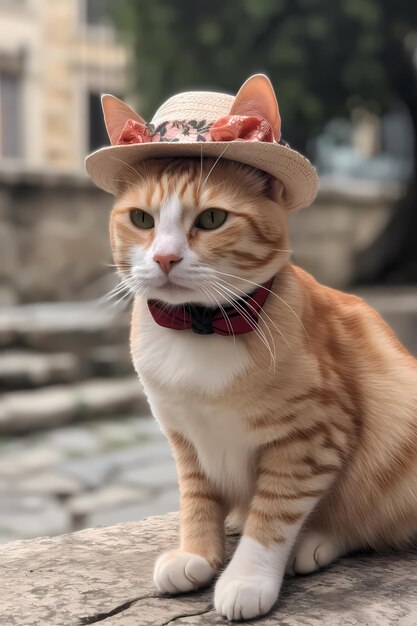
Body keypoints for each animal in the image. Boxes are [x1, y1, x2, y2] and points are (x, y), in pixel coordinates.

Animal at [105, 156, 416, 620]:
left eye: (212, 219)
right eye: (142, 219)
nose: (164, 257)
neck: (200, 327)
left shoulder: (314, 437)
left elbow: (273, 515)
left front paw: (247, 578)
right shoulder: (185, 439)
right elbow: (196, 499)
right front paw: (196, 554)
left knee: (369, 520)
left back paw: (314, 543)